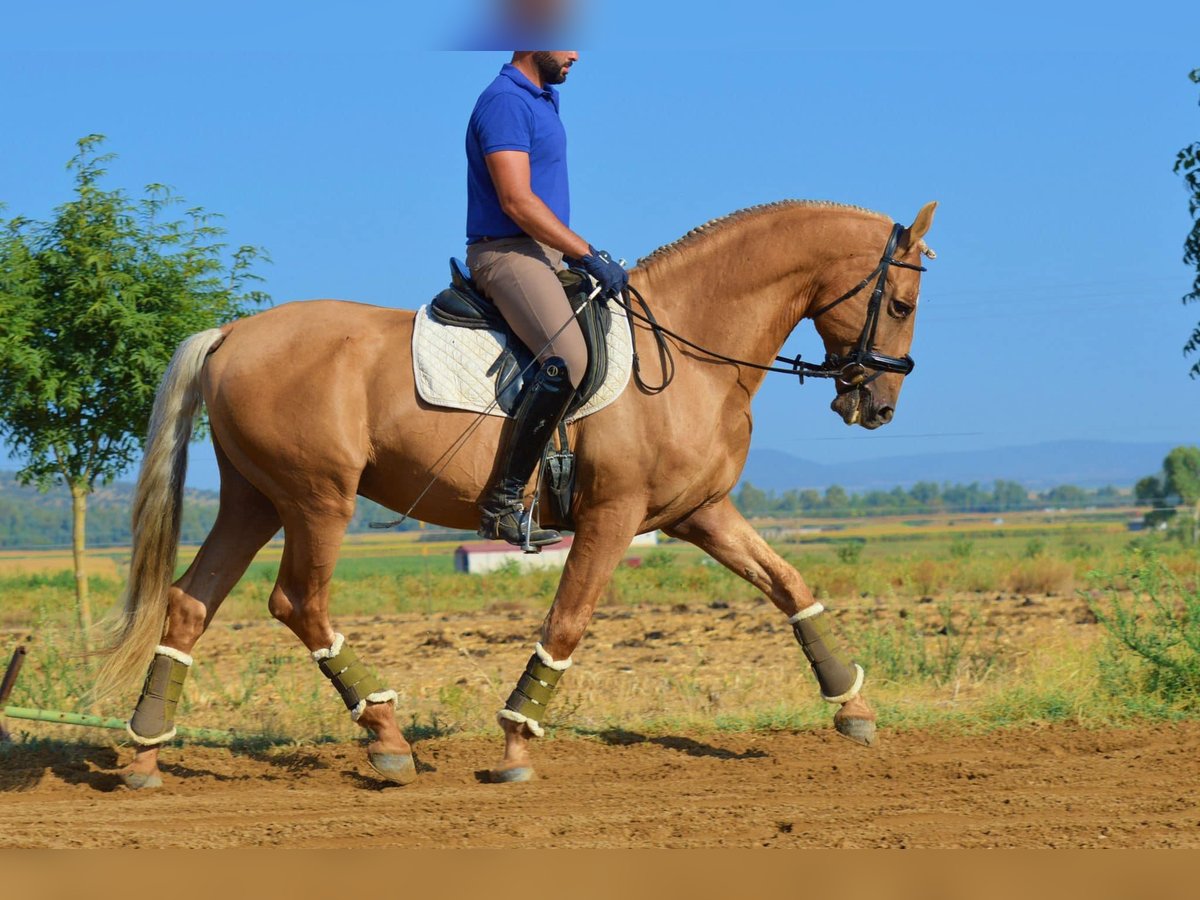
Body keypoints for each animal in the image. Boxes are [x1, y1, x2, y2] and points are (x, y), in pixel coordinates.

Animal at [100, 199, 936, 787]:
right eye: (899, 304)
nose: (878, 407)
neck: (691, 348)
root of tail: (233, 334)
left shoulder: (699, 512)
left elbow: (788, 583)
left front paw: (853, 707)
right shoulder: (612, 516)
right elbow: (566, 623)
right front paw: (514, 743)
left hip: (255, 499)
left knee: (191, 602)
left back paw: (144, 755)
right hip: (318, 500)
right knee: (298, 602)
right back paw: (387, 739)